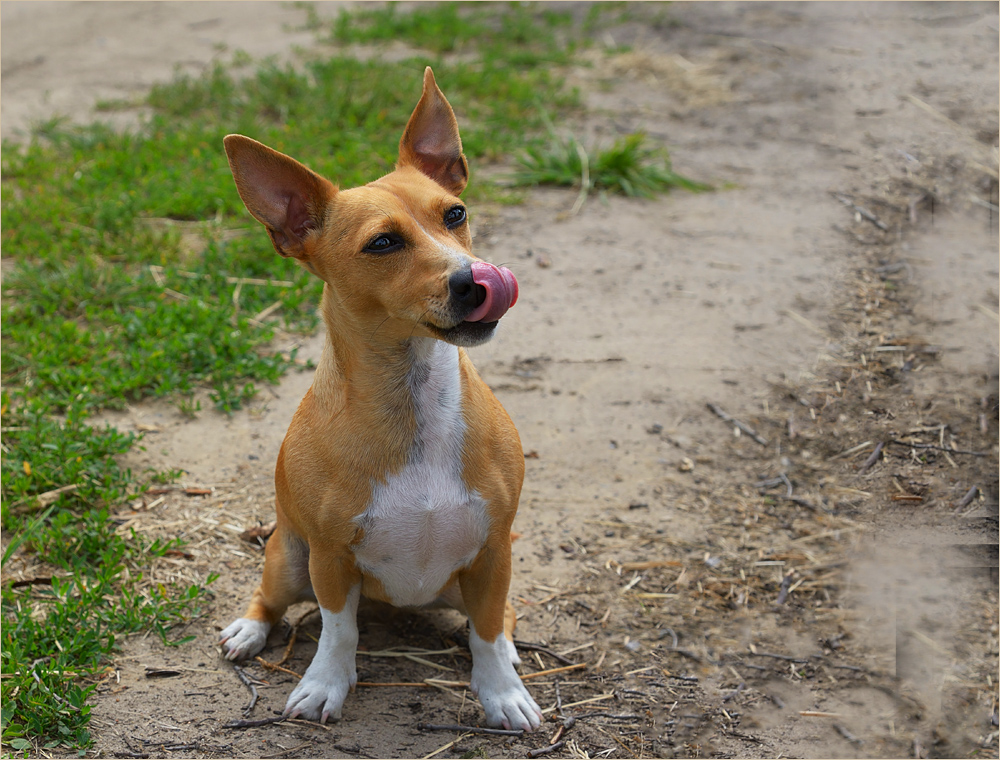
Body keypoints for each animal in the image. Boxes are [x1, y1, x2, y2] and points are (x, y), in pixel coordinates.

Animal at [218, 68, 544, 732]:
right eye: (382, 244)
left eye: (455, 213)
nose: (475, 280)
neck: (413, 401)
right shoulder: (330, 558)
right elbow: (337, 632)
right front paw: (325, 685)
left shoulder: (494, 551)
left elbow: (487, 629)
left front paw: (500, 692)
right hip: (288, 559)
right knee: (272, 598)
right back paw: (250, 630)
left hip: (470, 577)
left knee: (495, 621)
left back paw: (507, 653)